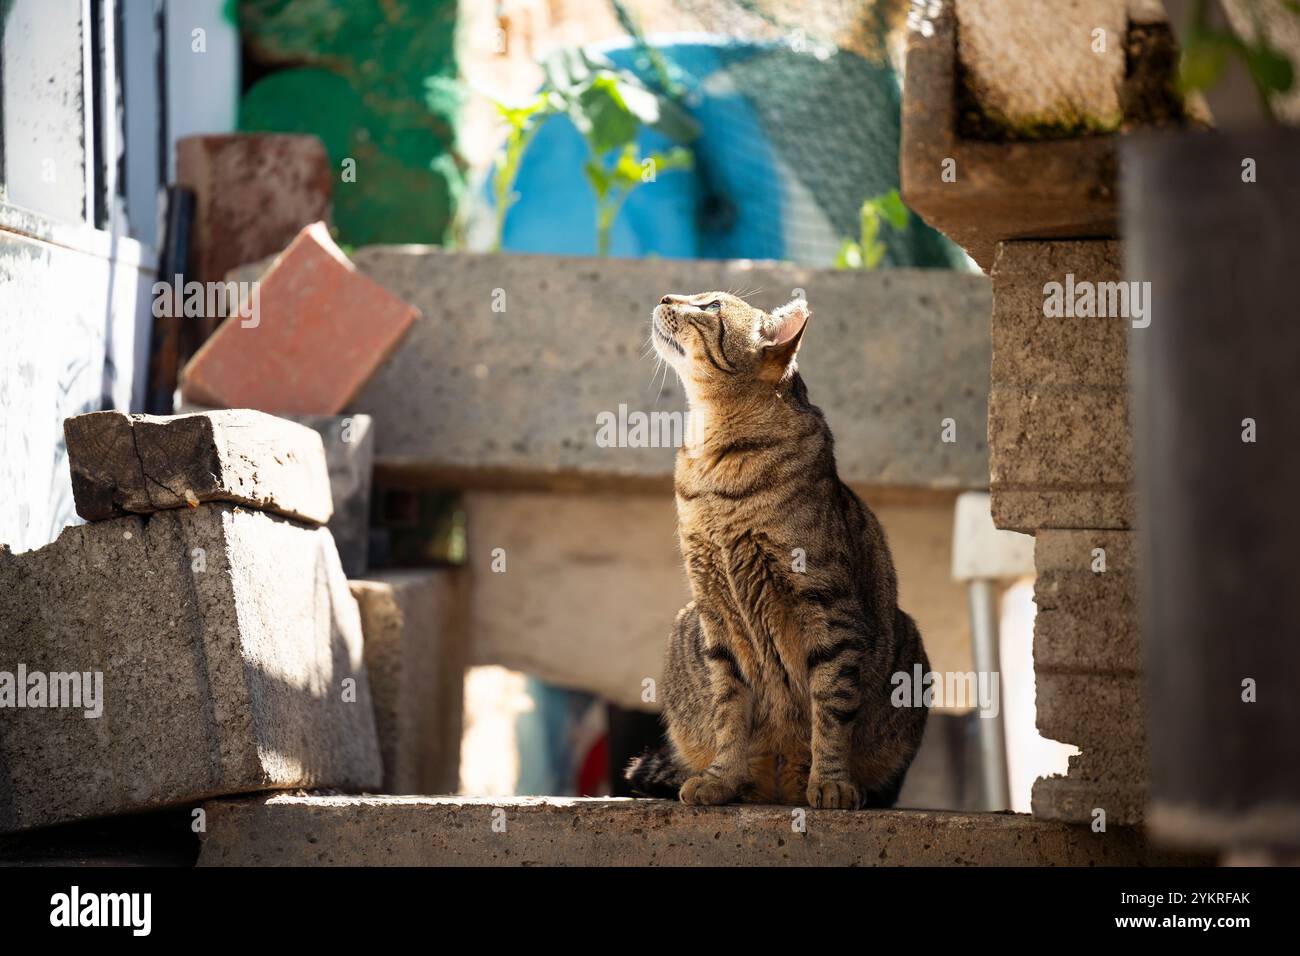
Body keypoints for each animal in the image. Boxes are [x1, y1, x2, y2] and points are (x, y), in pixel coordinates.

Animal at [624, 290, 930, 806]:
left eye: (710, 306)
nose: (665, 295)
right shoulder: (715, 614)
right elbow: (729, 712)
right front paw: (721, 778)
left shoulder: (830, 608)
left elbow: (831, 709)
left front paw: (830, 782)